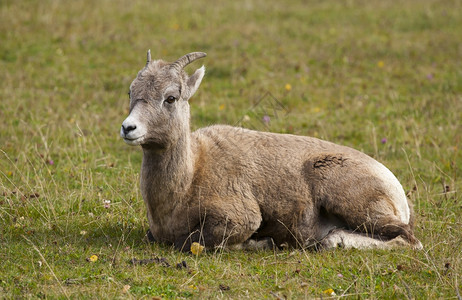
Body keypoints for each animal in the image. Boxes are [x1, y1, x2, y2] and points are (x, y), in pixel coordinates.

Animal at [120, 51, 422, 251]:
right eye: (131, 92)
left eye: (170, 98)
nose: (128, 128)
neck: (191, 175)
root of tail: (395, 187)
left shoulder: (240, 219)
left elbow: (192, 243)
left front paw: (261, 242)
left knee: (408, 240)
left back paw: (332, 240)